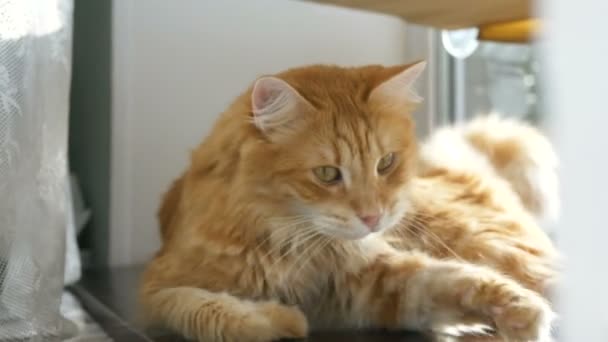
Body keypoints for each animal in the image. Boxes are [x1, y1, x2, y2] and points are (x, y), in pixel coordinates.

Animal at [140, 62, 560, 342]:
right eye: (327, 174)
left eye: (385, 163)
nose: (374, 217)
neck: (287, 242)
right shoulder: (158, 291)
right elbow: (218, 314)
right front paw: (284, 319)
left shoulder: (373, 277)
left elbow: (457, 278)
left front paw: (519, 310)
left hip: (490, 243)